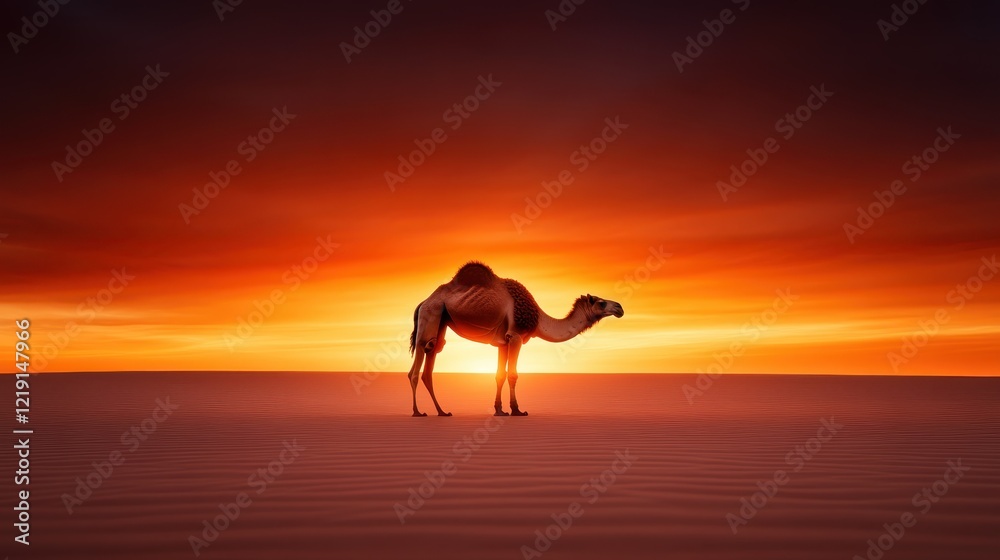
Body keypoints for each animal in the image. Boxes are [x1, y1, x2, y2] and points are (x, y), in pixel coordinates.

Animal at [407, 261, 624, 417]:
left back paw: (442, 412)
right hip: (431, 313)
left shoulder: (503, 342)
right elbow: (513, 374)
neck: (538, 318)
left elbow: (499, 375)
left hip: (441, 320)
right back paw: (417, 412)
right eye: (602, 303)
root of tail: (423, 302)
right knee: (418, 362)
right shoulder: (516, 336)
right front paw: (517, 410)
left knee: (431, 358)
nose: (620, 308)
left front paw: (499, 410)